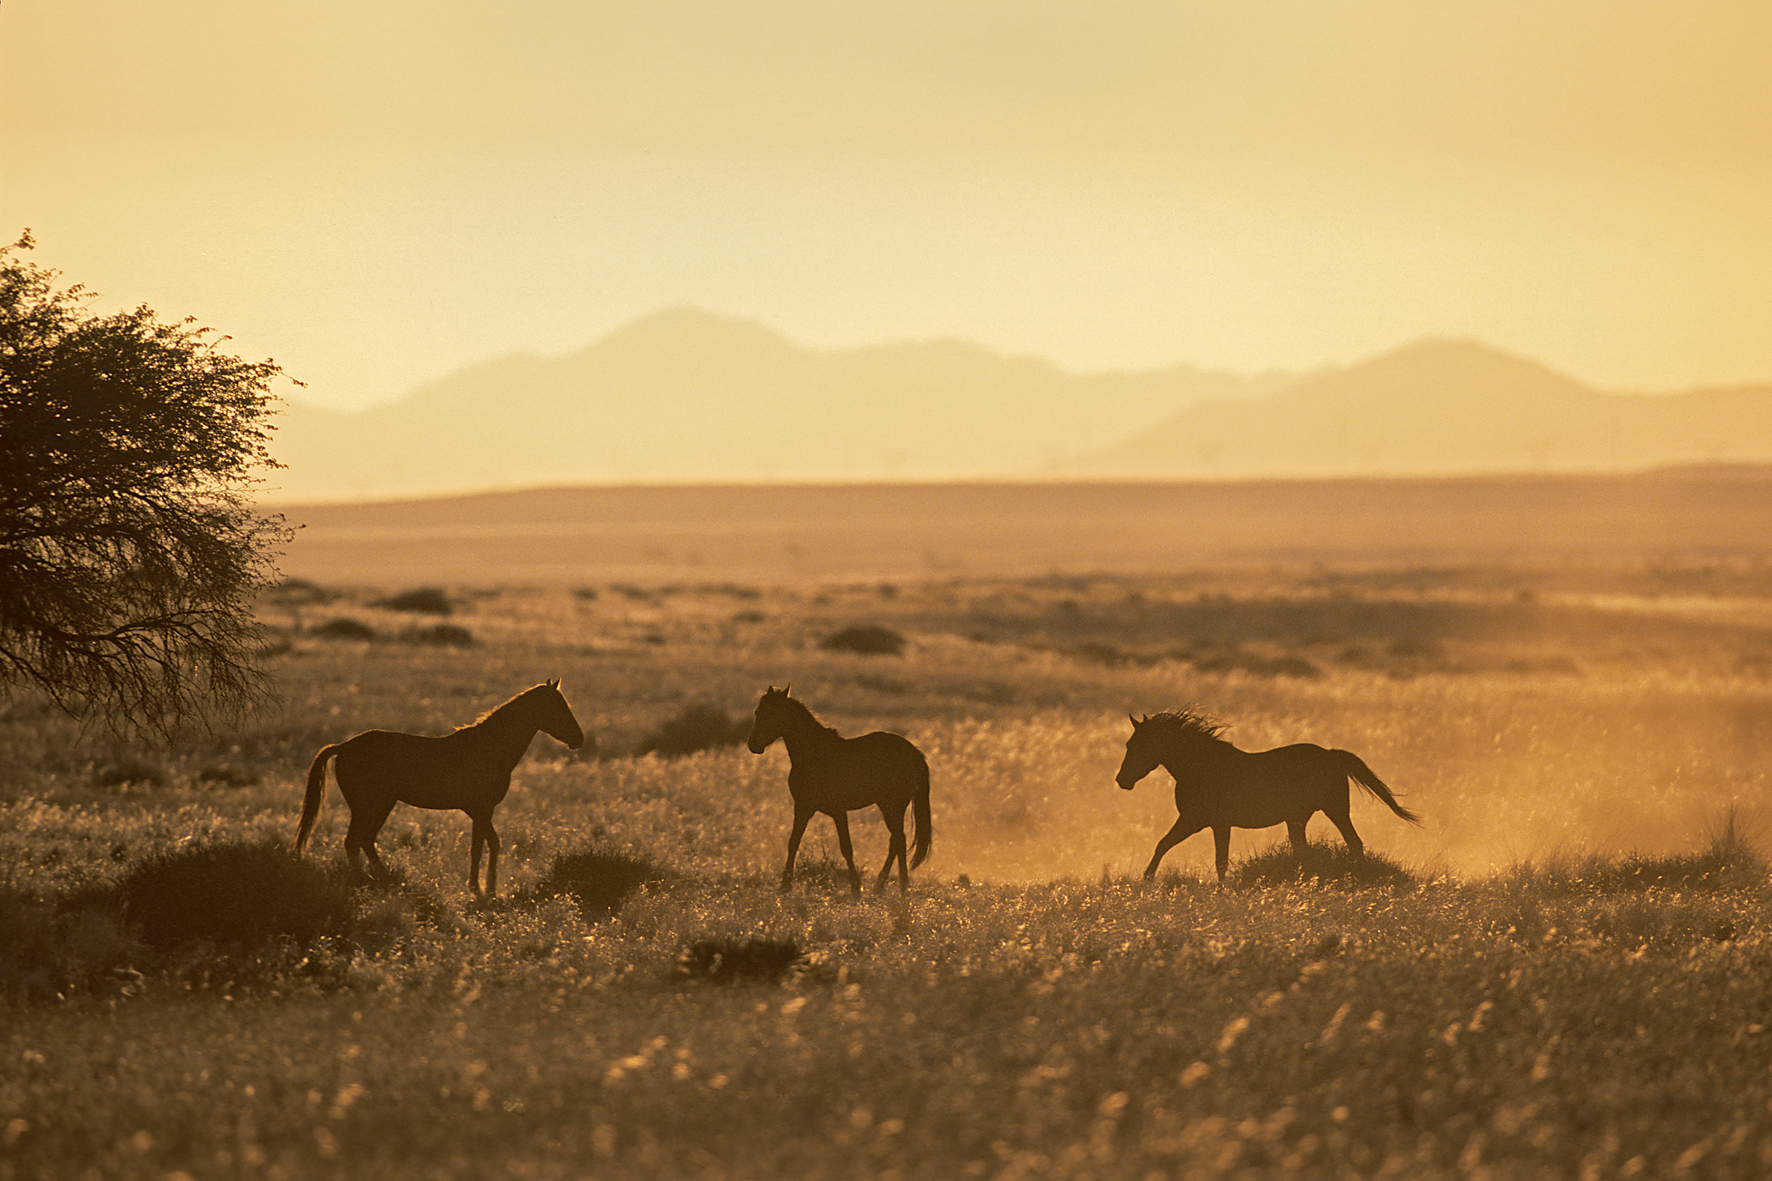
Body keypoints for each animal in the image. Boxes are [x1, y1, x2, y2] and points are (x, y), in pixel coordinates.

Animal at [295, 679, 587, 896]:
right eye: (558, 708)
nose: (579, 739)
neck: (489, 747)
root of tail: (343, 746)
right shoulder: (481, 809)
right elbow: (480, 846)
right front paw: (478, 889)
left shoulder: (480, 811)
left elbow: (490, 844)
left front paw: (488, 889)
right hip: (372, 805)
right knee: (356, 841)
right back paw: (370, 881)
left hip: (373, 806)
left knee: (362, 841)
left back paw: (383, 879)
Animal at [747, 685, 932, 893]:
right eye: (757, 712)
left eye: (771, 713)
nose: (753, 745)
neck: (814, 755)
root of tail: (915, 753)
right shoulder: (803, 807)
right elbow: (793, 842)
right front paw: (785, 884)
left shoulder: (838, 810)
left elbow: (846, 847)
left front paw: (856, 886)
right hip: (890, 807)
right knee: (897, 840)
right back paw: (889, 885)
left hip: (892, 806)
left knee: (898, 840)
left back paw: (895, 886)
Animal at [1116, 709, 1419, 883]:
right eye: (1130, 743)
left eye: (1138, 745)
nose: (1121, 780)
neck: (1201, 766)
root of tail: (1331, 755)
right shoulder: (1196, 821)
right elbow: (1163, 844)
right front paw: (1146, 881)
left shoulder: (1209, 822)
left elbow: (1219, 860)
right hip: (1297, 819)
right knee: (1304, 851)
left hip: (1336, 810)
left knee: (1354, 843)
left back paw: (1361, 878)